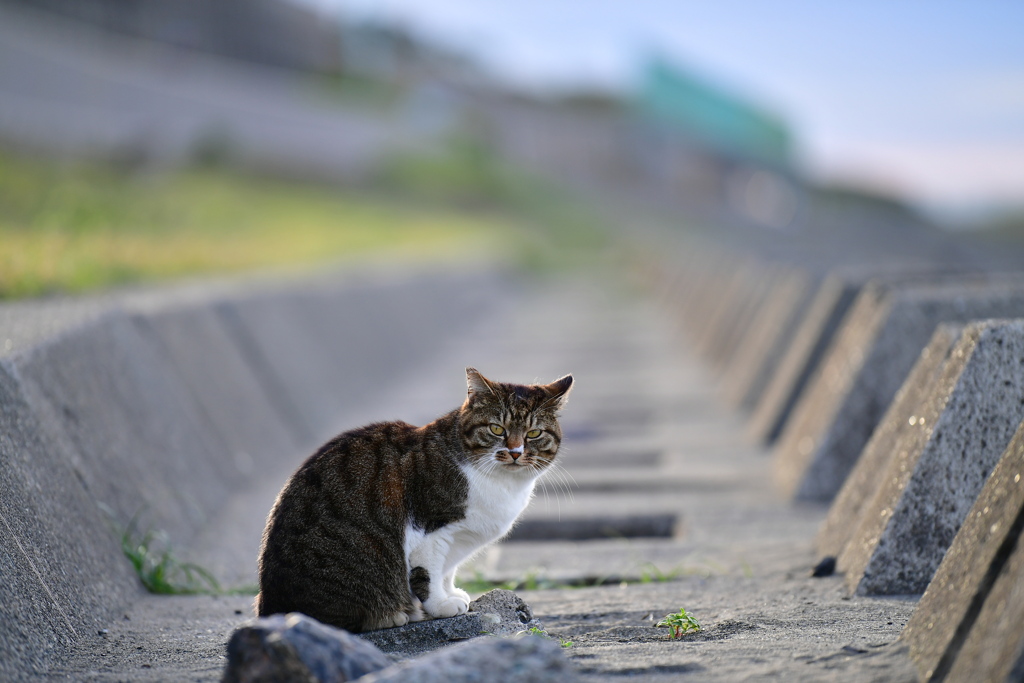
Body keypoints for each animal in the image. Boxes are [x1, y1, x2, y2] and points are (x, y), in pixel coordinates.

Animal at [254, 368, 573, 630]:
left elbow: (447, 571)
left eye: (534, 433)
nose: (516, 452)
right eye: (497, 429)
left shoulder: (458, 540)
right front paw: (442, 605)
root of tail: (269, 607)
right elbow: (428, 574)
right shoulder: (431, 530)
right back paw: (394, 615)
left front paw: (452, 592)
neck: (501, 483)